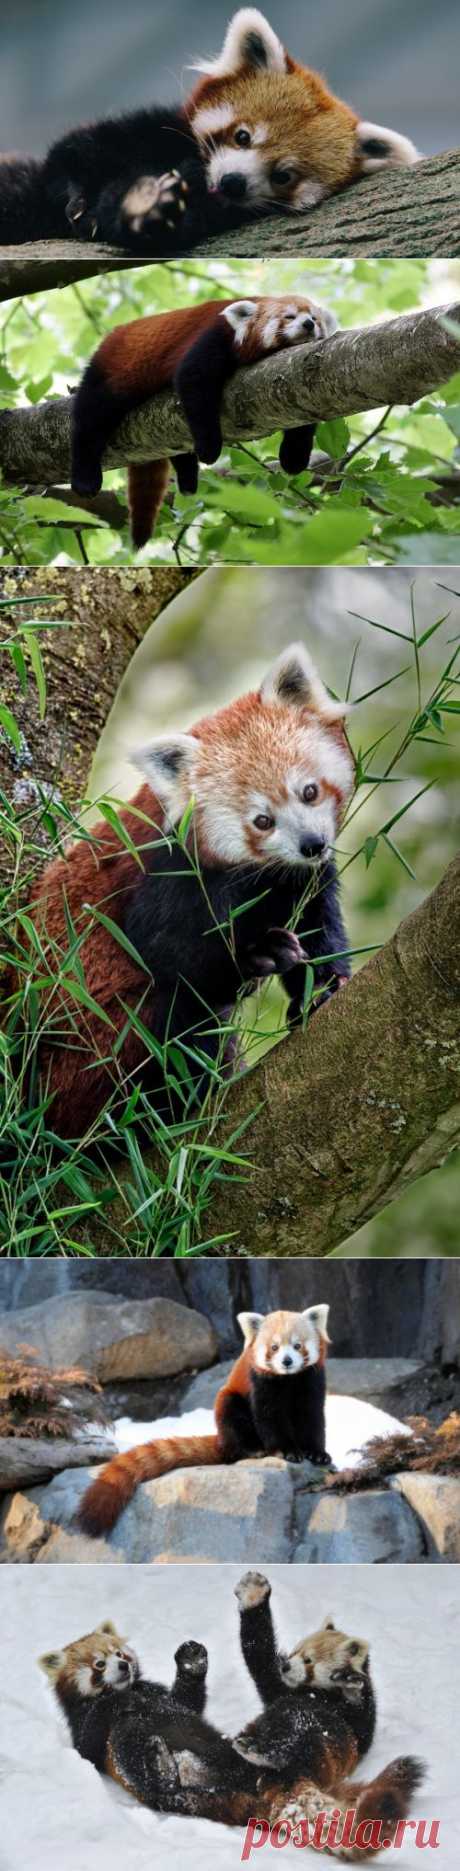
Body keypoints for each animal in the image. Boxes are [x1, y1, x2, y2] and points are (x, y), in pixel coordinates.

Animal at [26, 639, 353, 1137]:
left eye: (310, 791)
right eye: (262, 820)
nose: (311, 844)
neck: (258, 876)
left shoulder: (300, 880)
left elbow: (317, 929)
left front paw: (322, 989)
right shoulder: (168, 876)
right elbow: (167, 952)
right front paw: (255, 955)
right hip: (87, 1057)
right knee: (170, 1021)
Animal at [71, 288, 338, 546]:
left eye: (314, 318)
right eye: (289, 316)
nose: (308, 324)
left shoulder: (295, 377)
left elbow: (302, 414)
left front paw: (294, 456)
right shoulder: (214, 336)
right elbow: (193, 380)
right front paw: (209, 448)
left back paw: (188, 477)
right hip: (114, 368)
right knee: (91, 416)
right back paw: (85, 479)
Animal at [77, 1302, 332, 1534]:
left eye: (298, 1346)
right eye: (274, 1347)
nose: (287, 1361)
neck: (288, 1380)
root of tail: (222, 1440)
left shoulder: (311, 1382)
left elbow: (313, 1419)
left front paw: (317, 1453)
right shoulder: (261, 1383)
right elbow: (270, 1419)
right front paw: (286, 1451)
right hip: (229, 1405)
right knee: (233, 1418)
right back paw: (252, 1450)